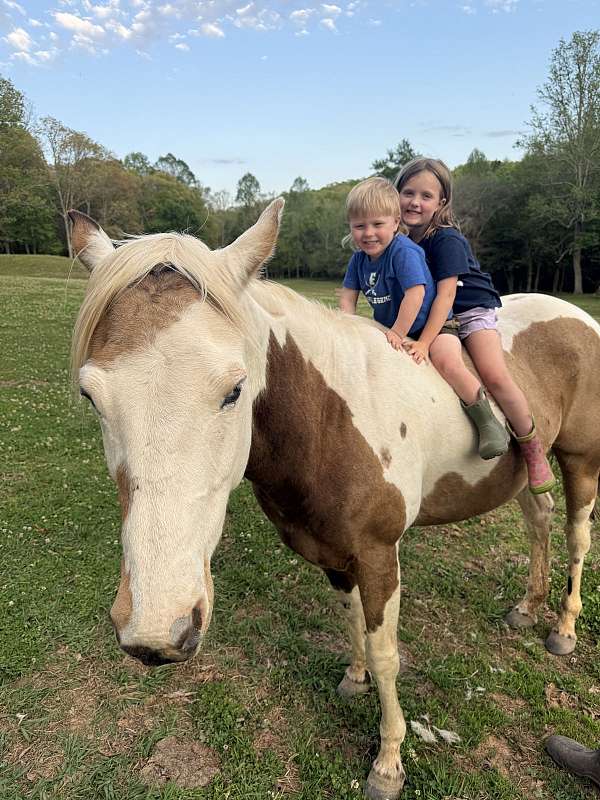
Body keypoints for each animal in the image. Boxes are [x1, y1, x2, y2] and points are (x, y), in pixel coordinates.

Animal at [69, 200, 600, 800]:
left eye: (235, 390)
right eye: (91, 395)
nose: (157, 630)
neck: (331, 416)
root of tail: (579, 318)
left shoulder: (378, 555)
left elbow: (387, 654)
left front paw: (388, 761)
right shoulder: (332, 552)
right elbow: (352, 624)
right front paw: (354, 678)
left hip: (581, 460)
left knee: (577, 537)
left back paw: (563, 628)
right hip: (527, 473)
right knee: (538, 521)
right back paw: (528, 607)